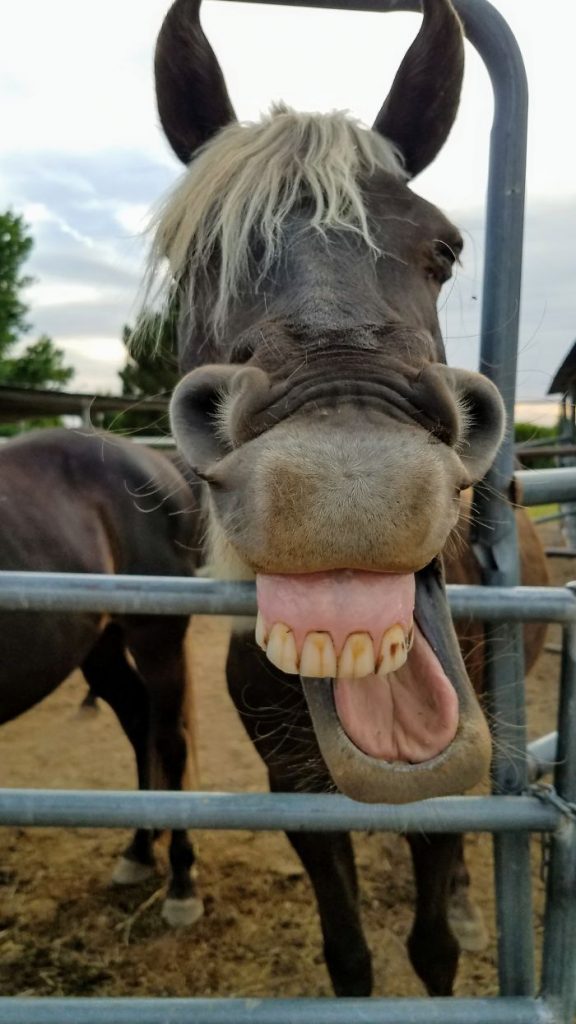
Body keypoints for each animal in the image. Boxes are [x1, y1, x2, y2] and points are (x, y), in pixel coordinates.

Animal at [0, 423, 201, 929]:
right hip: (101, 645)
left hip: (156, 636)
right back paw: (139, 850)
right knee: (138, 719)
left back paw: (182, 883)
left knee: (169, 740)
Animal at [146, 0, 541, 991]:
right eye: (196, 255)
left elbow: (431, 942)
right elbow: (350, 952)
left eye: (447, 251)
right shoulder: (295, 797)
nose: (347, 482)